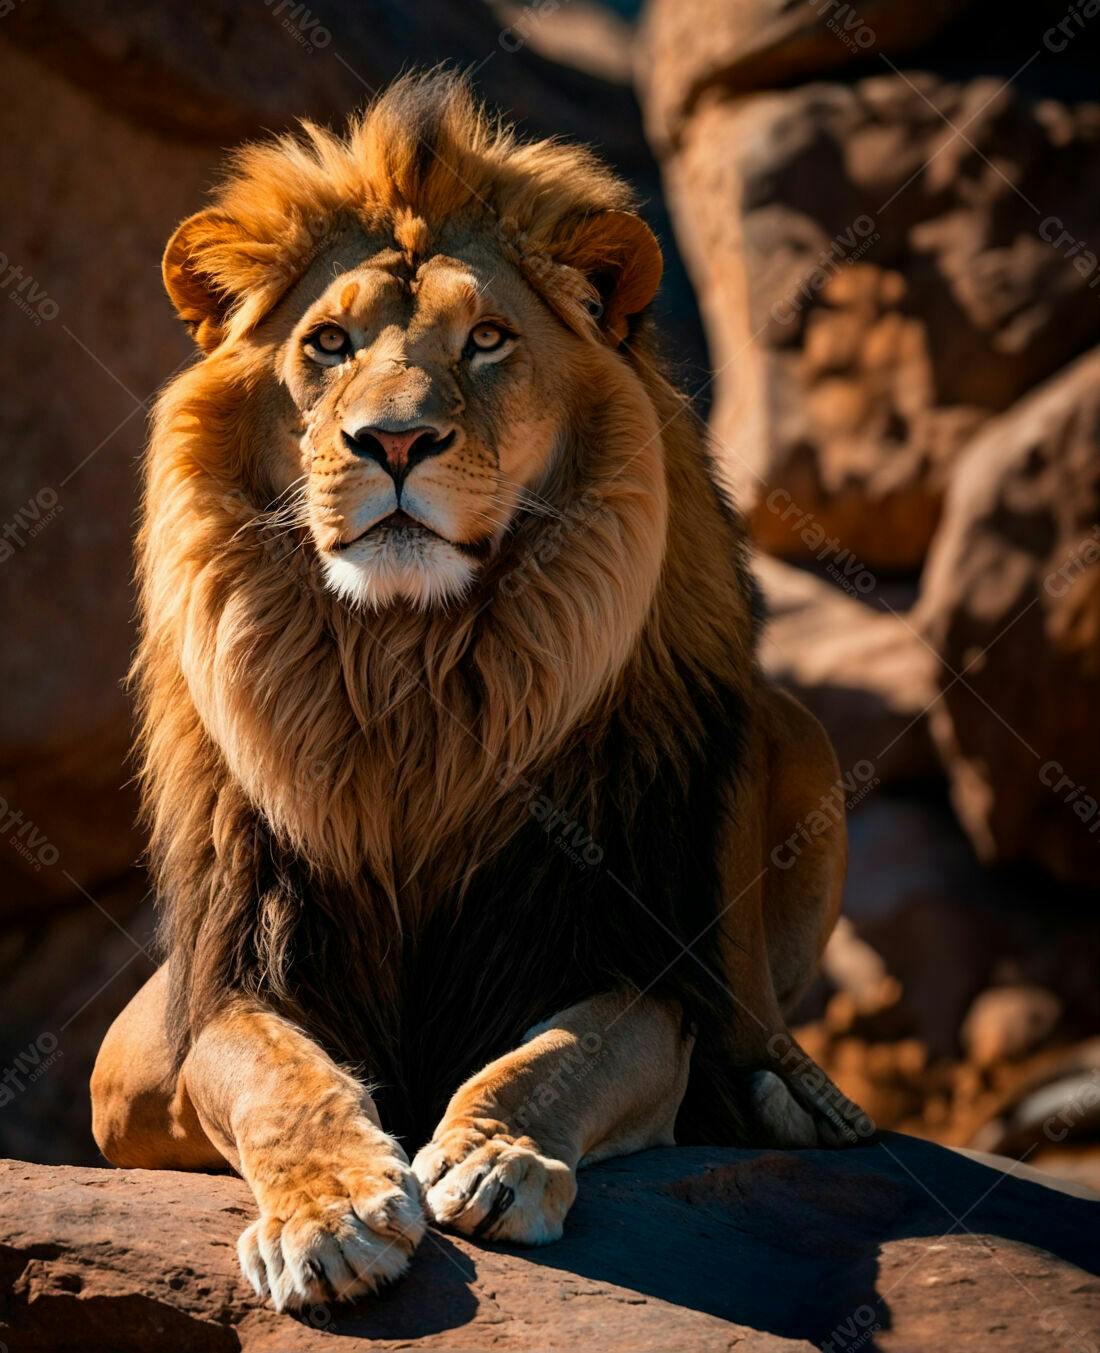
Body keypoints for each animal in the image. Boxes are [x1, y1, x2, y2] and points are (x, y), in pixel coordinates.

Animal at [90, 71, 869, 1312]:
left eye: (489, 338)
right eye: (327, 342)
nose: (394, 440)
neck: (410, 674)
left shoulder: (626, 958)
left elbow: (567, 1052)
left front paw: (495, 1153)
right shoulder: (175, 1026)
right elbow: (269, 1071)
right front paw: (331, 1213)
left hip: (796, 745)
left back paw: (796, 1099)